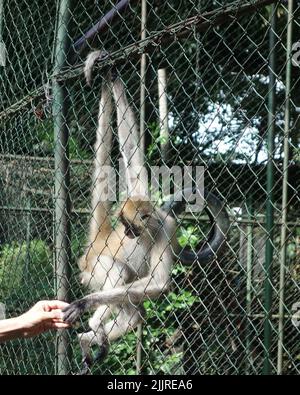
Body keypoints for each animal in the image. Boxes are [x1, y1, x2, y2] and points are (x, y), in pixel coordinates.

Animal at [62, 51, 229, 376]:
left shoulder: (167, 226)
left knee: (134, 310)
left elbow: (158, 283)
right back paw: (94, 329)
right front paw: (113, 76)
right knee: (118, 274)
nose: (127, 233)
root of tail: (99, 241)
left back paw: (92, 334)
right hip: (96, 267)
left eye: (131, 227)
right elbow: (131, 150)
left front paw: (88, 304)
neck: (151, 227)